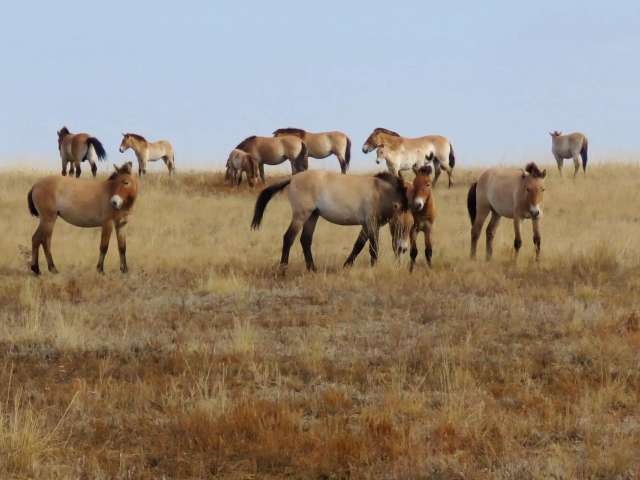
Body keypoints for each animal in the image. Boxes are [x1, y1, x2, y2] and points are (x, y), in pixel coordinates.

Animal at [251, 170, 409, 272]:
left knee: (305, 240)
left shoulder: (367, 225)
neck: (381, 192)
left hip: (312, 216)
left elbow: (358, 246)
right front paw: (373, 268)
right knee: (289, 237)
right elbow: (373, 247)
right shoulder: (371, 223)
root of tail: (293, 177)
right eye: (402, 225)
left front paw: (346, 266)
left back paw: (312, 269)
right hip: (301, 216)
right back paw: (283, 269)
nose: (403, 249)